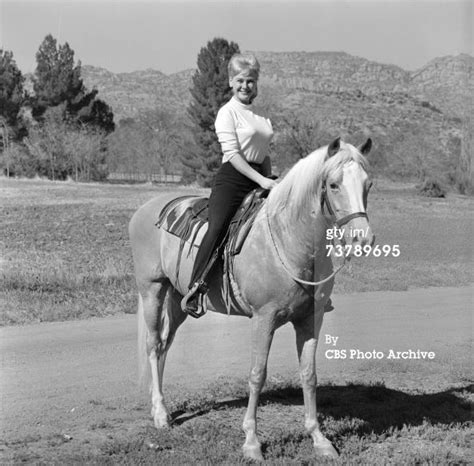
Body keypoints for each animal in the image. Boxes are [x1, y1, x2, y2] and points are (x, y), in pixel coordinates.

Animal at [129, 137, 374, 460]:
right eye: (333, 185)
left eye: (368, 184)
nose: (362, 239)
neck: (288, 238)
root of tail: (146, 209)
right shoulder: (263, 318)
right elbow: (257, 374)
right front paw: (252, 442)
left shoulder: (311, 319)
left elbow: (309, 374)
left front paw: (319, 439)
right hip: (152, 290)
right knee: (154, 344)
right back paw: (159, 413)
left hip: (178, 298)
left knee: (165, 344)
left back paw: (161, 407)